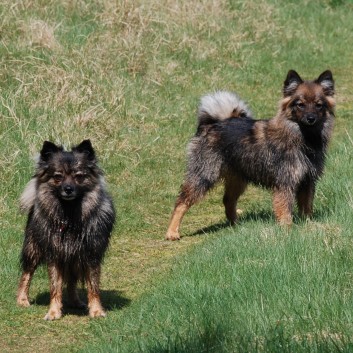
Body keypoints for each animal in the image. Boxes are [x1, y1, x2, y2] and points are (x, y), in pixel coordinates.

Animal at [17, 140, 115, 320]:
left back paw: (75, 301)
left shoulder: (90, 255)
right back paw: (22, 299)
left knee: (71, 281)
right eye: (58, 176)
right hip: (33, 248)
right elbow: (55, 287)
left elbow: (93, 287)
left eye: (79, 176)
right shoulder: (55, 255)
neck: (69, 215)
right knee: (27, 272)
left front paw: (96, 311)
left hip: (73, 259)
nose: (68, 189)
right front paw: (53, 312)